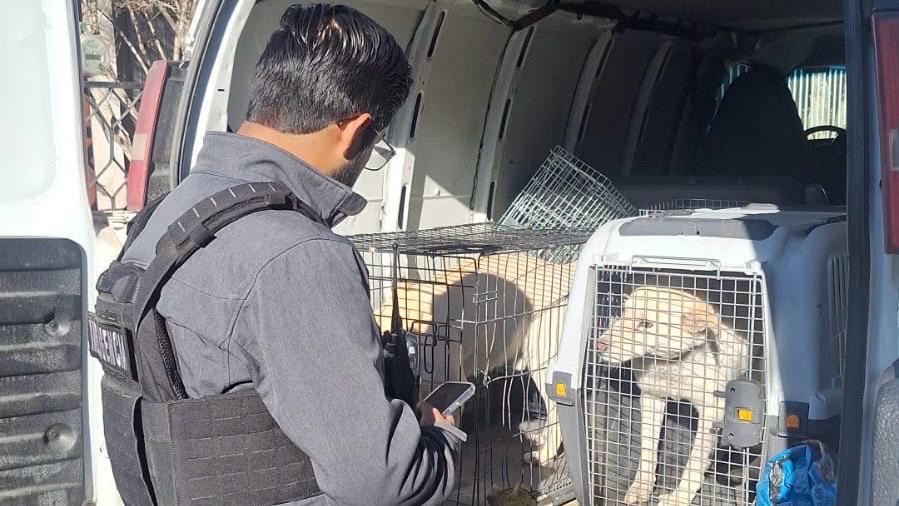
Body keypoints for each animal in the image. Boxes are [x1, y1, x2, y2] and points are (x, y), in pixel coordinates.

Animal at [596, 286, 749, 506]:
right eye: (624, 313)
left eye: (646, 324)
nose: (598, 345)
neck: (671, 365)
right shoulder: (651, 399)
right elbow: (648, 449)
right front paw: (642, 486)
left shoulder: (712, 412)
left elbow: (695, 461)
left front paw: (679, 497)